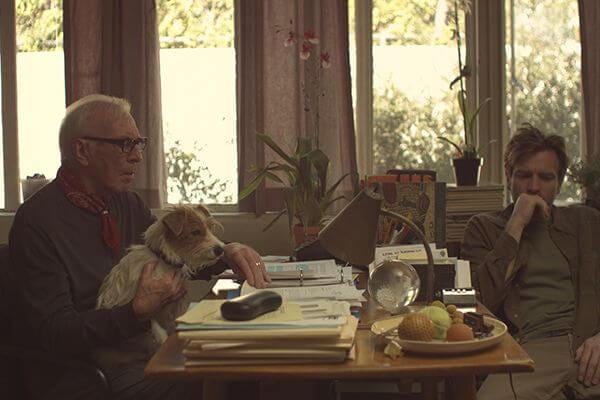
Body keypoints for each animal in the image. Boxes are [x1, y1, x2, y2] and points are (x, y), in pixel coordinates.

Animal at [94, 204, 225, 368]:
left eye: (210, 228)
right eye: (195, 232)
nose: (221, 249)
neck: (163, 260)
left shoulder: (178, 302)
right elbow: (152, 321)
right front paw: (163, 339)